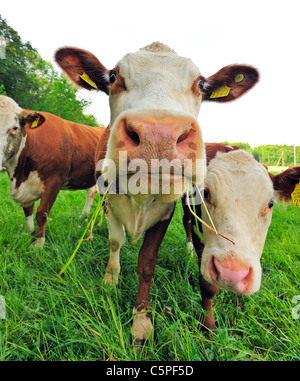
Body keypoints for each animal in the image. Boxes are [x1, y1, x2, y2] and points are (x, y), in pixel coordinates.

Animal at [0, 95, 105, 246]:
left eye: (14, 128)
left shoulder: (54, 181)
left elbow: (42, 213)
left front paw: (38, 243)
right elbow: (28, 210)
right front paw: (28, 233)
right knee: (92, 192)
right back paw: (84, 216)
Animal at [54, 40, 260, 344]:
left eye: (201, 84)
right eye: (113, 77)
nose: (158, 135)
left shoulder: (166, 211)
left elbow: (147, 261)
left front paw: (141, 320)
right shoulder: (109, 199)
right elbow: (114, 241)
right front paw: (110, 280)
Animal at [182, 142, 300, 330]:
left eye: (271, 203)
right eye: (205, 193)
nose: (231, 273)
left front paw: (239, 306)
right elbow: (207, 286)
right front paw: (208, 326)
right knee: (185, 219)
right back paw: (189, 250)